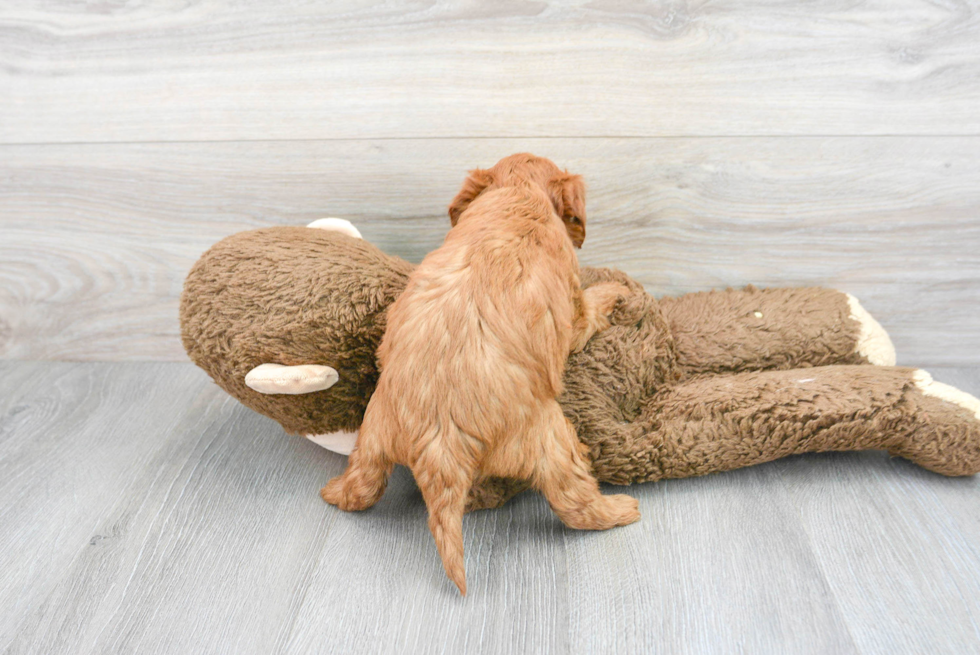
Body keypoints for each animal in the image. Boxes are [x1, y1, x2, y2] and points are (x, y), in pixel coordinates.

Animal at [324, 152, 644, 596]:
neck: (518, 193)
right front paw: (616, 291)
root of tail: (439, 446)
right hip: (550, 438)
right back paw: (620, 510)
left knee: (363, 485)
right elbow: (590, 305)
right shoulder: (574, 311)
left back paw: (333, 493)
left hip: (372, 434)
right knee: (573, 502)